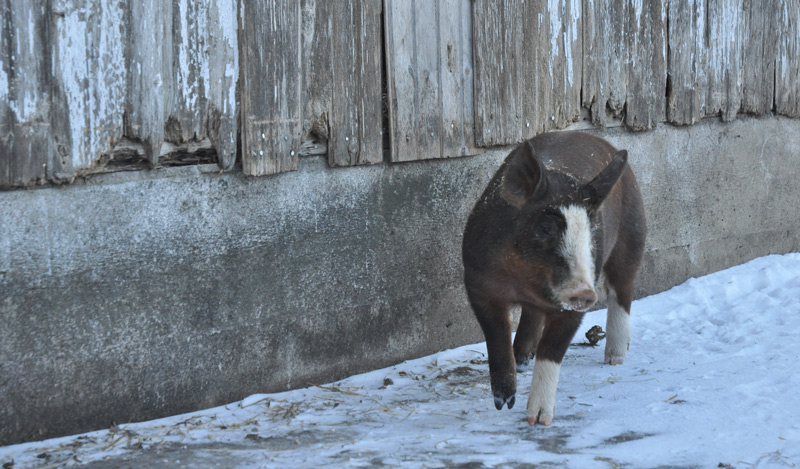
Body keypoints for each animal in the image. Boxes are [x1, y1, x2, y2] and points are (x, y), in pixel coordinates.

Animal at [462, 131, 646, 425]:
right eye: (546, 228)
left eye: (592, 231)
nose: (584, 292)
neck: (524, 283)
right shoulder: (477, 284)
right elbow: (496, 335)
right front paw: (504, 402)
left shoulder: (575, 309)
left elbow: (552, 349)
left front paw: (538, 420)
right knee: (532, 316)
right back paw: (521, 361)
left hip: (633, 233)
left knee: (623, 289)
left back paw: (615, 358)